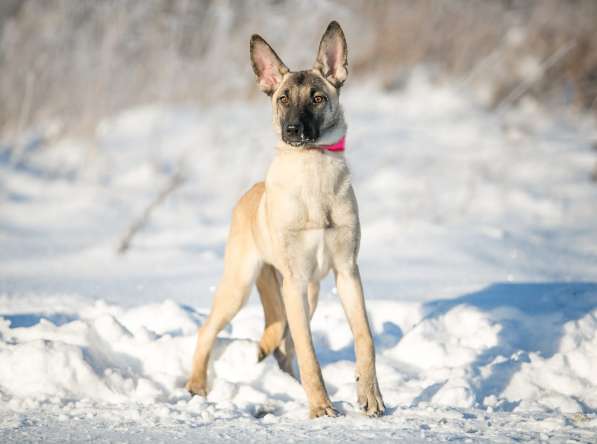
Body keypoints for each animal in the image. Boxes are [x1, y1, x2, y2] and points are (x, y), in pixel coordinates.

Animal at [184, 20, 384, 418]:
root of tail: (249, 194)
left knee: (283, 343)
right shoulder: (295, 281)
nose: (291, 131)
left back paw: (286, 382)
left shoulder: (347, 273)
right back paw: (197, 384)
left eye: (317, 98)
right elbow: (309, 352)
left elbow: (364, 338)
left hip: (309, 293)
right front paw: (321, 407)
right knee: (208, 330)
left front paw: (370, 396)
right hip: (241, 285)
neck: (314, 171)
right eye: (283, 99)